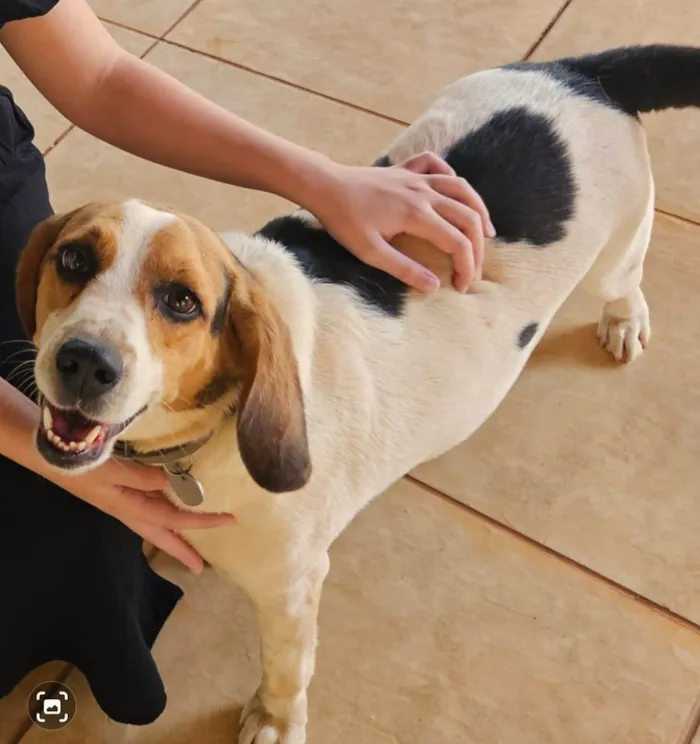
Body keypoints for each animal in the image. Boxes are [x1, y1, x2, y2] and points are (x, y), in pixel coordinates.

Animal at [16, 45, 700, 744]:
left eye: (183, 301)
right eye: (73, 260)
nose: (84, 363)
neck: (208, 438)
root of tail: (579, 70)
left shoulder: (291, 587)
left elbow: (285, 668)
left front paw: (274, 719)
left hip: (616, 254)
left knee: (626, 282)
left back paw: (623, 320)